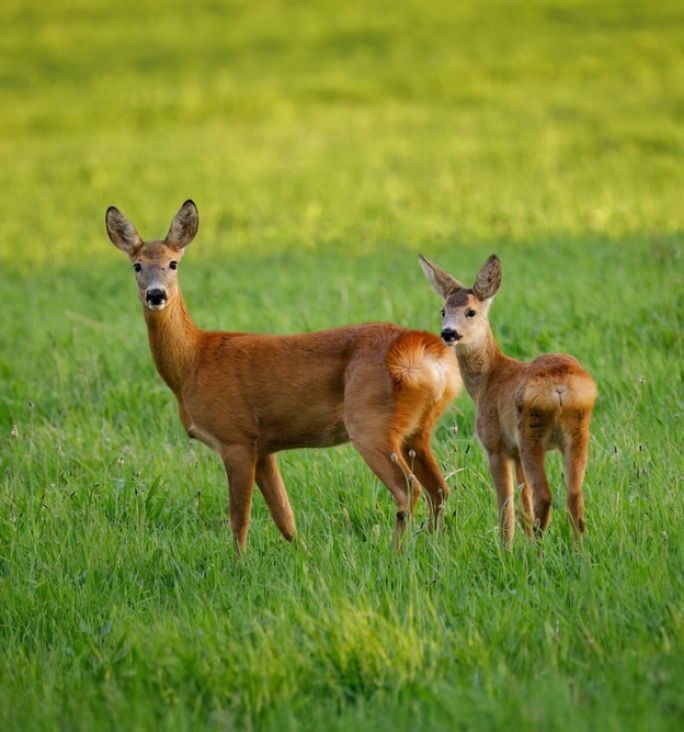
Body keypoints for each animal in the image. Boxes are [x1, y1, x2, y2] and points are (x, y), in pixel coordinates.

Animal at [104, 197, 462, 552]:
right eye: (137, 265)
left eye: (173, 263)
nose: (156, 295)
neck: (193, 362)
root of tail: (426, 352)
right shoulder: (263, 446)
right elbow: (285, 518)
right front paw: (303, 554)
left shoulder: (236, 437)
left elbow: (239, 517)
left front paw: (239, 561)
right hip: (418, 430)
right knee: (440, 490)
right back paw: (434, 546)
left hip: (370, 421)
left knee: (408, 489)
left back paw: (395, 554)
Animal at [416, 254, 592, 548]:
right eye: (443, 310)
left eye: (471, 312)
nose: (449, 333)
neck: (488, 380)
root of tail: (560, 388)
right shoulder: (514, 450)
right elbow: (523, 507)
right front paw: (522, 542)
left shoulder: (496, 444)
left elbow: (507, 507)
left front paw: (506, 548)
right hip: (577, 432)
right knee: (574, 496)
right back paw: (576, 550)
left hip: (532, 434)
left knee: (545, 495)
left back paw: (538, 552)